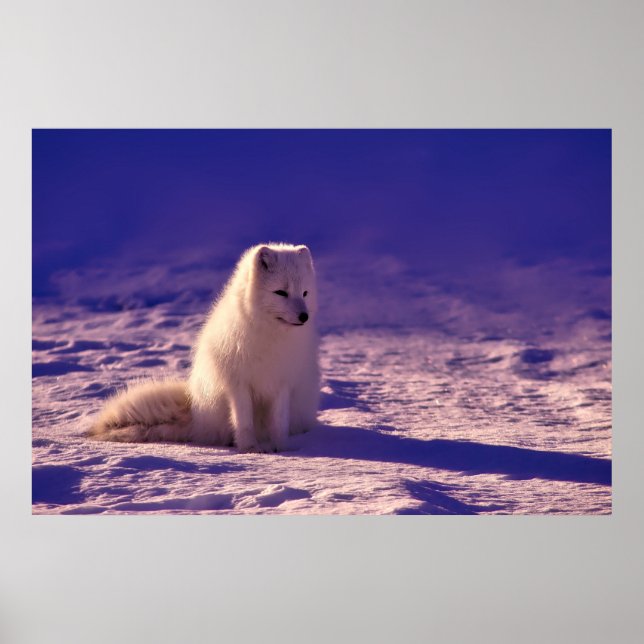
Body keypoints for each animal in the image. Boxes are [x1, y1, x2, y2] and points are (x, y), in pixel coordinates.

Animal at [87, 243, 320, 452]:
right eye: (281, 292)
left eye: (305, 293)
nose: (304, 316)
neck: (270, 336)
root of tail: (196, 414)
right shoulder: (238, 384)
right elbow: (244, 421)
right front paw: (250, 448)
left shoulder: (283, 382)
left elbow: (279, 422)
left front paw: (281, 449)